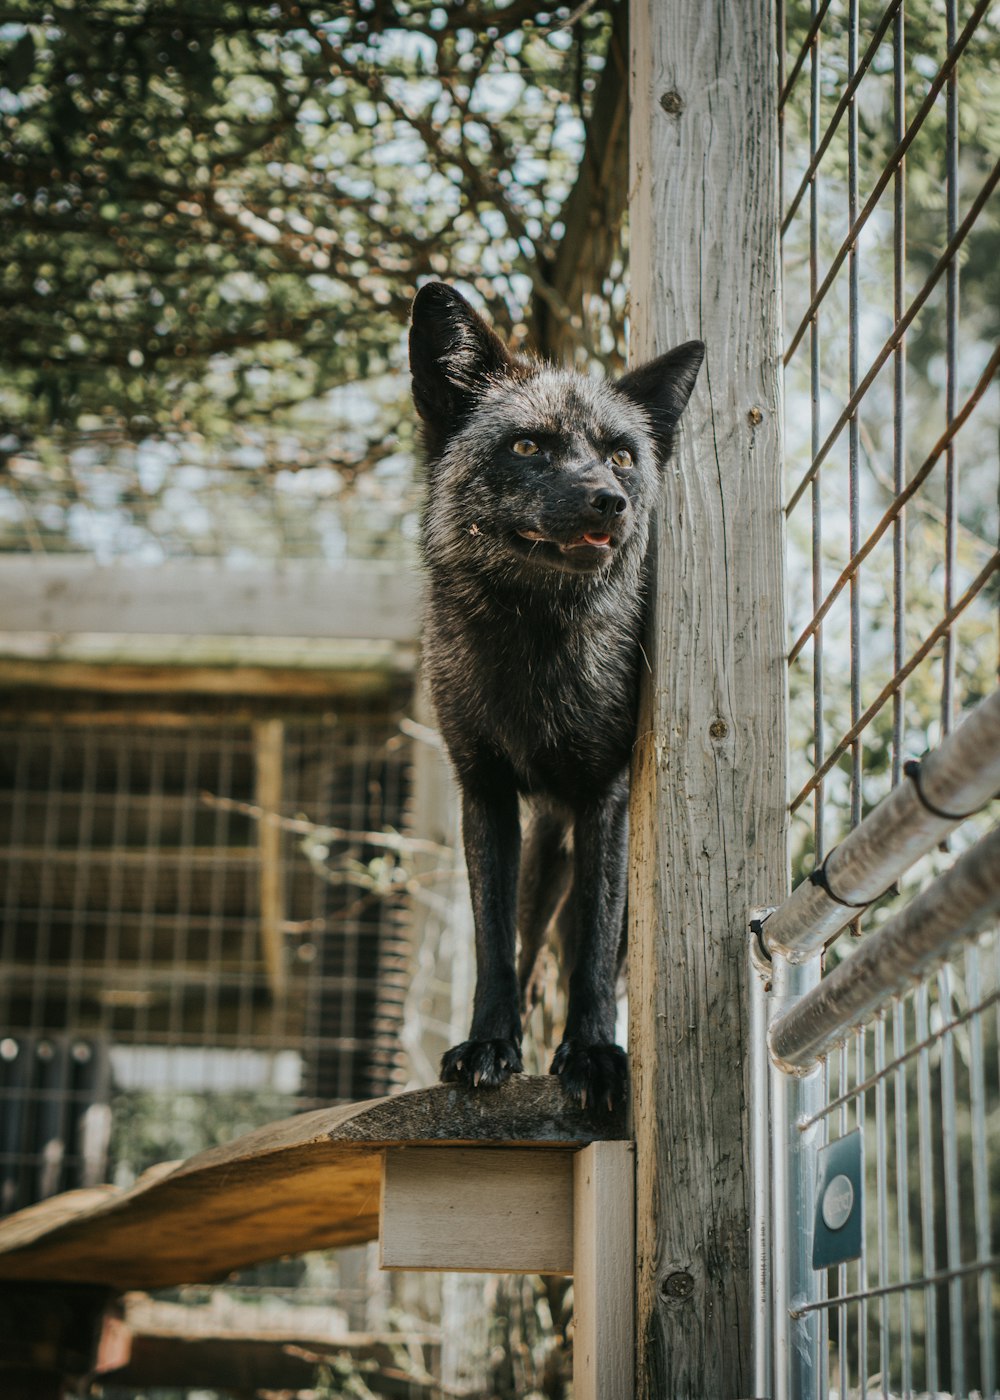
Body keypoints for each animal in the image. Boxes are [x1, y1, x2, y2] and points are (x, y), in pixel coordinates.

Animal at [406, 287, 700, 1114]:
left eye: (622, 454)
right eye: (529, 446)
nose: (610, 501)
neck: (533, 658)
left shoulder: (607, 793)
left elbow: (594, 953)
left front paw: (594, 1054)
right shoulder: (483, 788)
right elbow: (493, 941)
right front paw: (488, 1045)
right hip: (540, 858)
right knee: (531, 939)